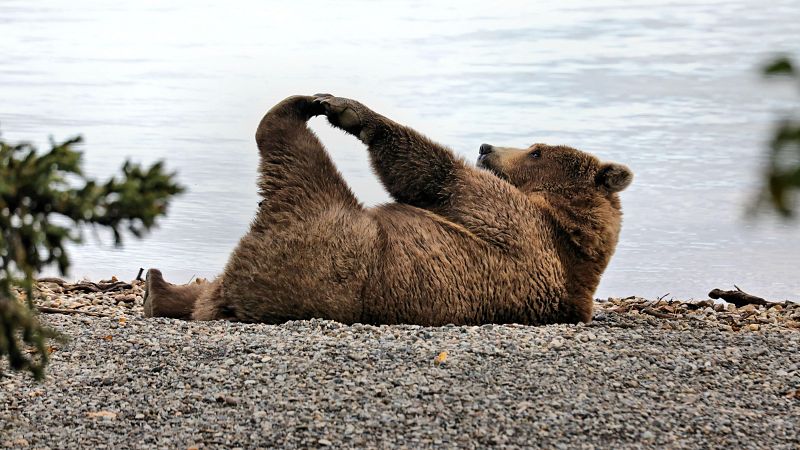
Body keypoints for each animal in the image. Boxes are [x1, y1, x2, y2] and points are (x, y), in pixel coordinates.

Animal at [142, 95, 632, 326]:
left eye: (536, 151)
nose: (486, 147)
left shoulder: (519, 227)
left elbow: (439, 178)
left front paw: (349, 111)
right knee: (204, 288)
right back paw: (158, 288)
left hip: (323, 241)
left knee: (296, 163)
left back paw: (295, 109)